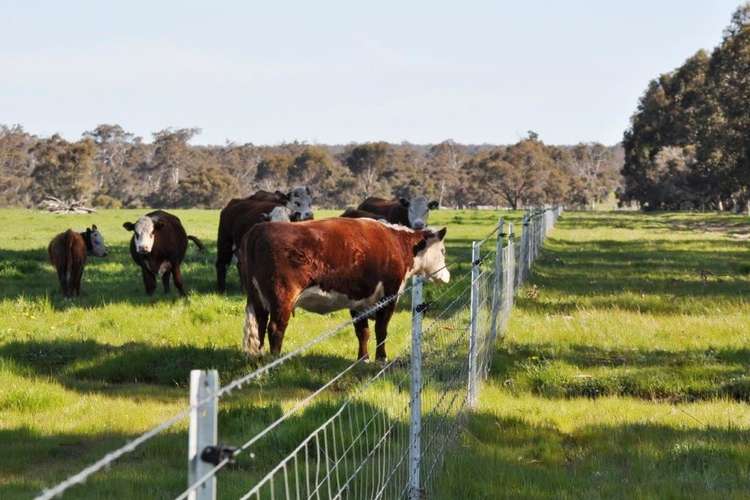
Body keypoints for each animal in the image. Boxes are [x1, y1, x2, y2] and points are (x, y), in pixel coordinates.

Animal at [238, 218, 450, 360]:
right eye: (442, 251)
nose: (447, 276)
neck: (396, 244)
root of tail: (258, 228)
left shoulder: (359, 300)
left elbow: (363, 332)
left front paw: (363, 359)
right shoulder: (389, 295)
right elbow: (381, 330)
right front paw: (381, 358)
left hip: (258, 298)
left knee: (260, 325)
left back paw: (259, 358)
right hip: (282, 297)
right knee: (275, 328)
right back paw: (274, 360)